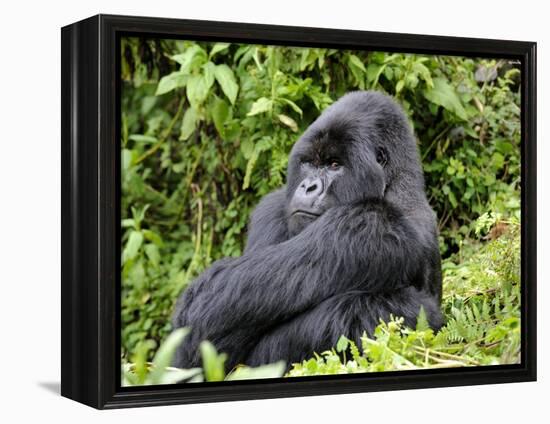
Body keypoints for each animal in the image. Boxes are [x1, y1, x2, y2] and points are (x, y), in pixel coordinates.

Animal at [172, 90, 444, 372]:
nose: (308, 186)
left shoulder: (368, 224)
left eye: (334, 164)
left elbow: (209, 308)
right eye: (310, 163)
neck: (396, 188)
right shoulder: (273, 207)